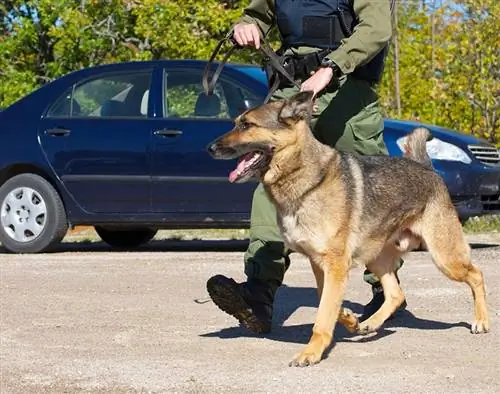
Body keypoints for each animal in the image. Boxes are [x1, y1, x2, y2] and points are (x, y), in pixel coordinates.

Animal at [206, 91, 488, 366]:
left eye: (247, 125)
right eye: (236, 122)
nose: (210, 148)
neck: (307, 178)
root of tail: (427, 169)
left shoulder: (336, 264)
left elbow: (323, 314)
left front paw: (311, 352)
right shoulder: (321, 264)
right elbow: (326, 300)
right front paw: (349, 320)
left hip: (445, 258)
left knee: (476, 275)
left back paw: (482, 321)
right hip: (376, 258)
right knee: (395, 294)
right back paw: (370, 324)